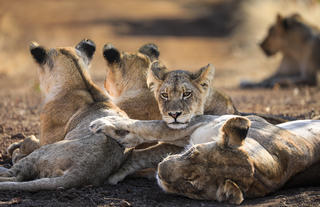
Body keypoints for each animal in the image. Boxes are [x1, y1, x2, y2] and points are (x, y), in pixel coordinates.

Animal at [0, 39, 126, 191]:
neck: (81, 82)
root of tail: (81, 173)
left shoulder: (46, 140)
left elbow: (30, 140)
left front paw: (16, 147)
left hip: (45, 151)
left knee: (16, 174)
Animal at [89, 115, 320, 205]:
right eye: (192, 154)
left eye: (191, 184)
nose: (161, 171)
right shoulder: (196, 125)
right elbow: (148, 132)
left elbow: (146, 135)